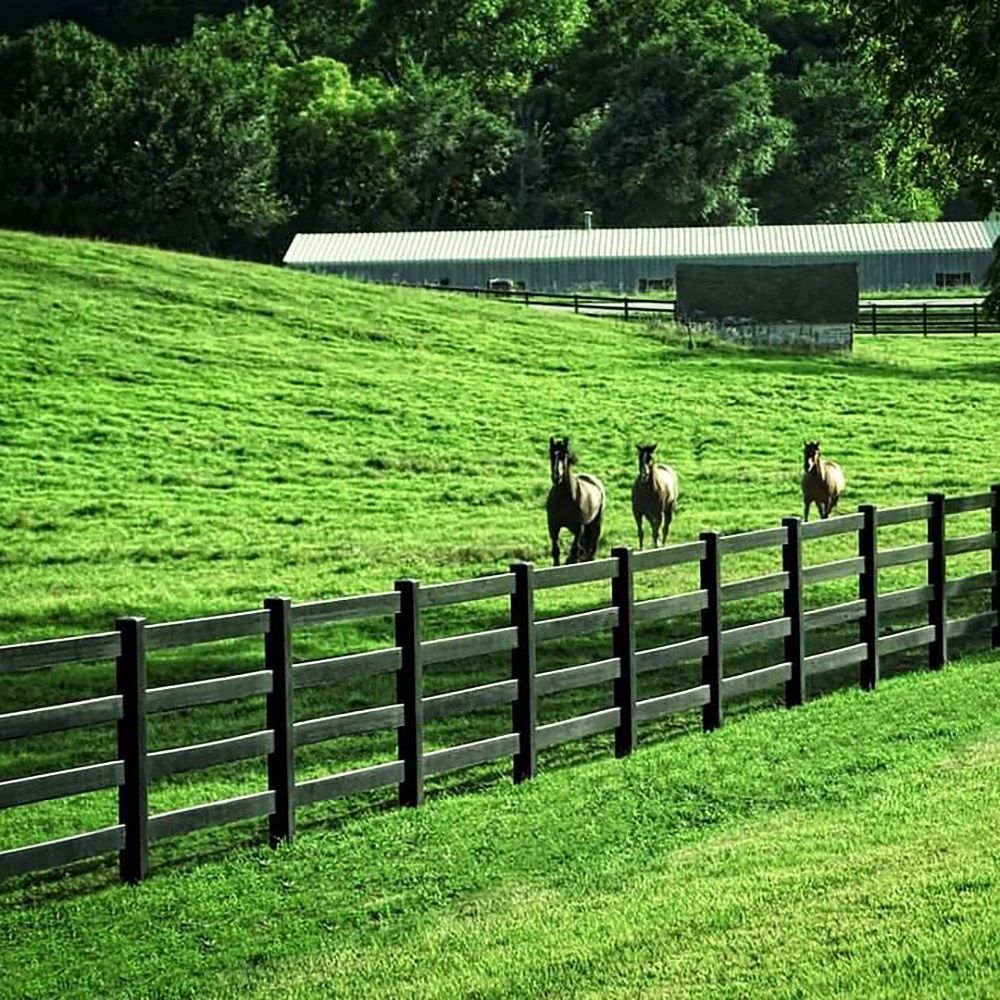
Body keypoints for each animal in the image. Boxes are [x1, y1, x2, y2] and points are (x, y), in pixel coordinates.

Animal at [546, 436, 605, 565]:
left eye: (564, 456)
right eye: (551, 455)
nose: (556, 477)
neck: (564, 499)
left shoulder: (578, 529)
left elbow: (575, 551)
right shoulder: (553, 527)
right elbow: (556, 550)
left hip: (595, 522)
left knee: (592, 543)